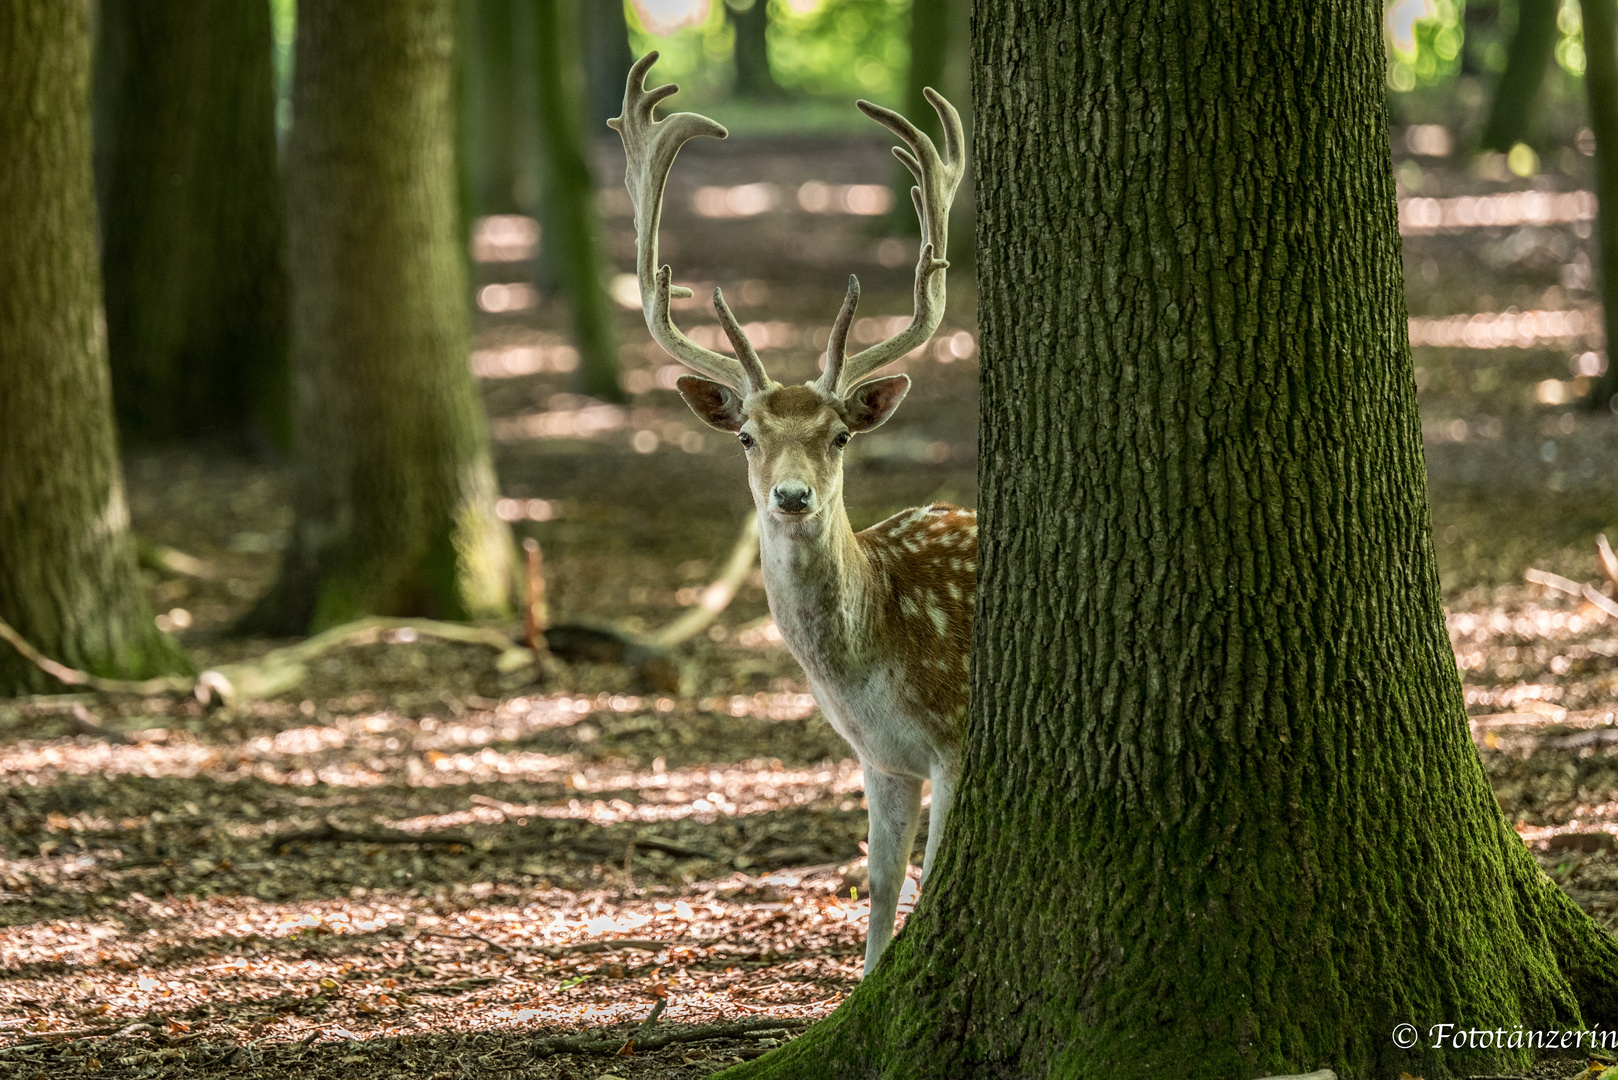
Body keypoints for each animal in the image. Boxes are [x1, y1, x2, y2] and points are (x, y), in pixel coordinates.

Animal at [611, 55, 970, 977]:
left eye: (839, 435)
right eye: (747, 436)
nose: (793, 495)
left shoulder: (956, 738)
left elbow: (932, 878)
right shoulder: (881, 757)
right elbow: (882, 881)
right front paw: (865, 984)